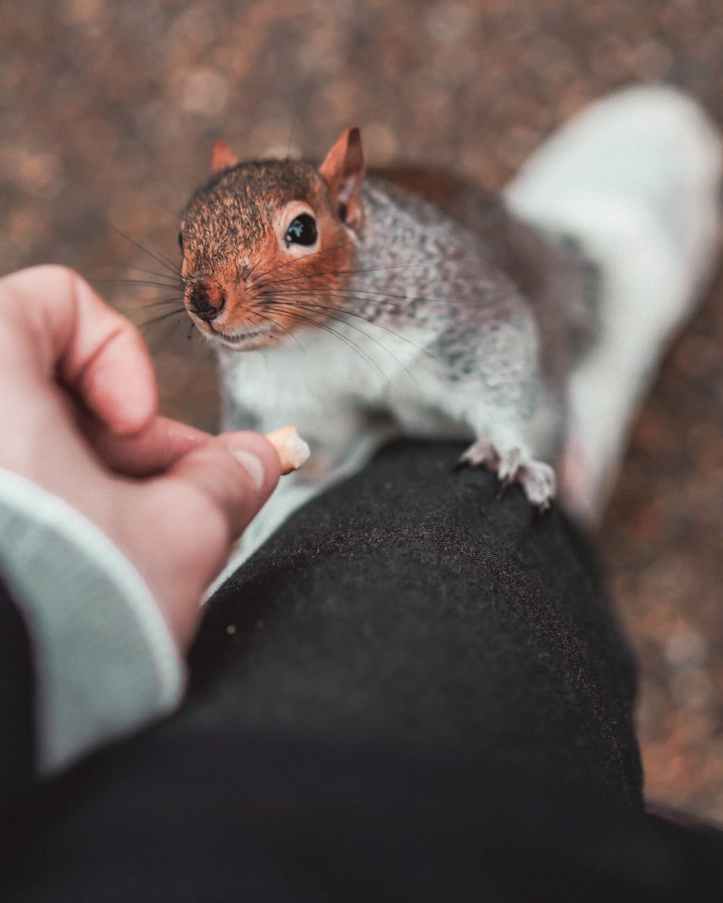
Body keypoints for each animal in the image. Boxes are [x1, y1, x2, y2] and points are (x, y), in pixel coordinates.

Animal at [177, 85, 722, 571]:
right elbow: (316, 452)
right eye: (182, 233)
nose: (205, 299)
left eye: (302, 229)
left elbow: (497, 363)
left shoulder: (462, 308)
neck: (320, 335)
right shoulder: (293, 404)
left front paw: (505, 451)